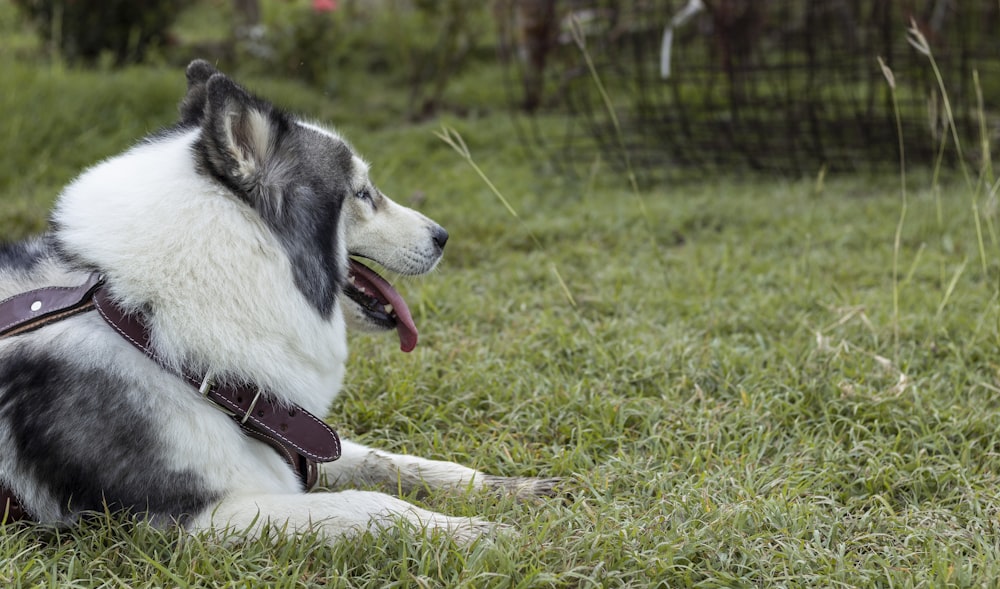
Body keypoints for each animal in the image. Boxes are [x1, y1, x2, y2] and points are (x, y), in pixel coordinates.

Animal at [0, 59, 556, 544]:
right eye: (362, 193)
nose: (443, 237)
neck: (143, 323)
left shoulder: (293, 442)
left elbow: (388, 463)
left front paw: (501, 489)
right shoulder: (193, 518)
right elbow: (369, 504)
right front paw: (475, 533)